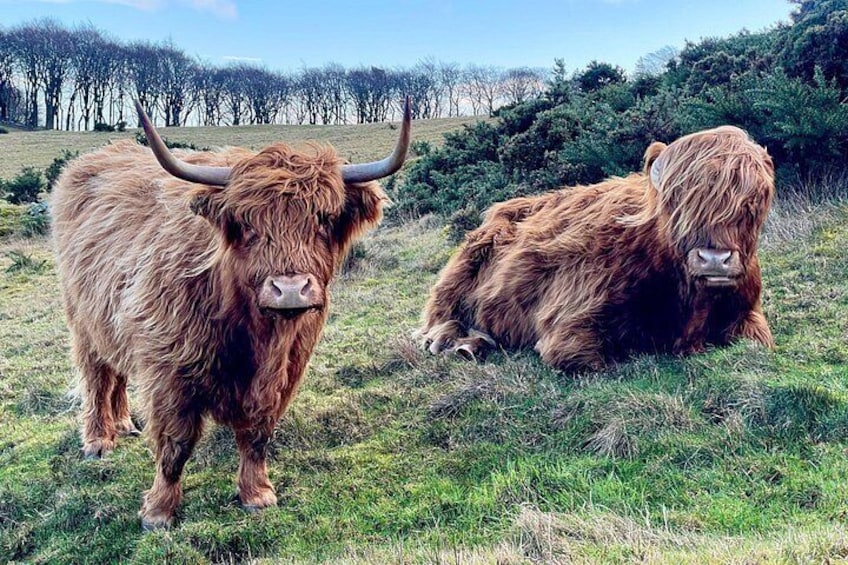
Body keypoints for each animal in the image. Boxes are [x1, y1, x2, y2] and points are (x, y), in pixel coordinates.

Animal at [51, 99, 410, 530]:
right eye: (246, 223)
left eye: (323, 219)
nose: (290, 289)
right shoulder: (169, 370)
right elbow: (174, 443)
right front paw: (159, 512)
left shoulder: (285, 372)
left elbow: (257, 434)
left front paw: (256, 494)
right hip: (82, 321)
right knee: (96, 378)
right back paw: (99, 440)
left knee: (116, 371)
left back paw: (123, 424)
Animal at [417, 126, 775, 371]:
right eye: (676, 201)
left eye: (754, 199)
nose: (714, 260)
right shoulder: (570, 322)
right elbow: (590, 358)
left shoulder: (749, 313)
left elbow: (759, 342)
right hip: (460, 272)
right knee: (439, 315)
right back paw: (448, 341)